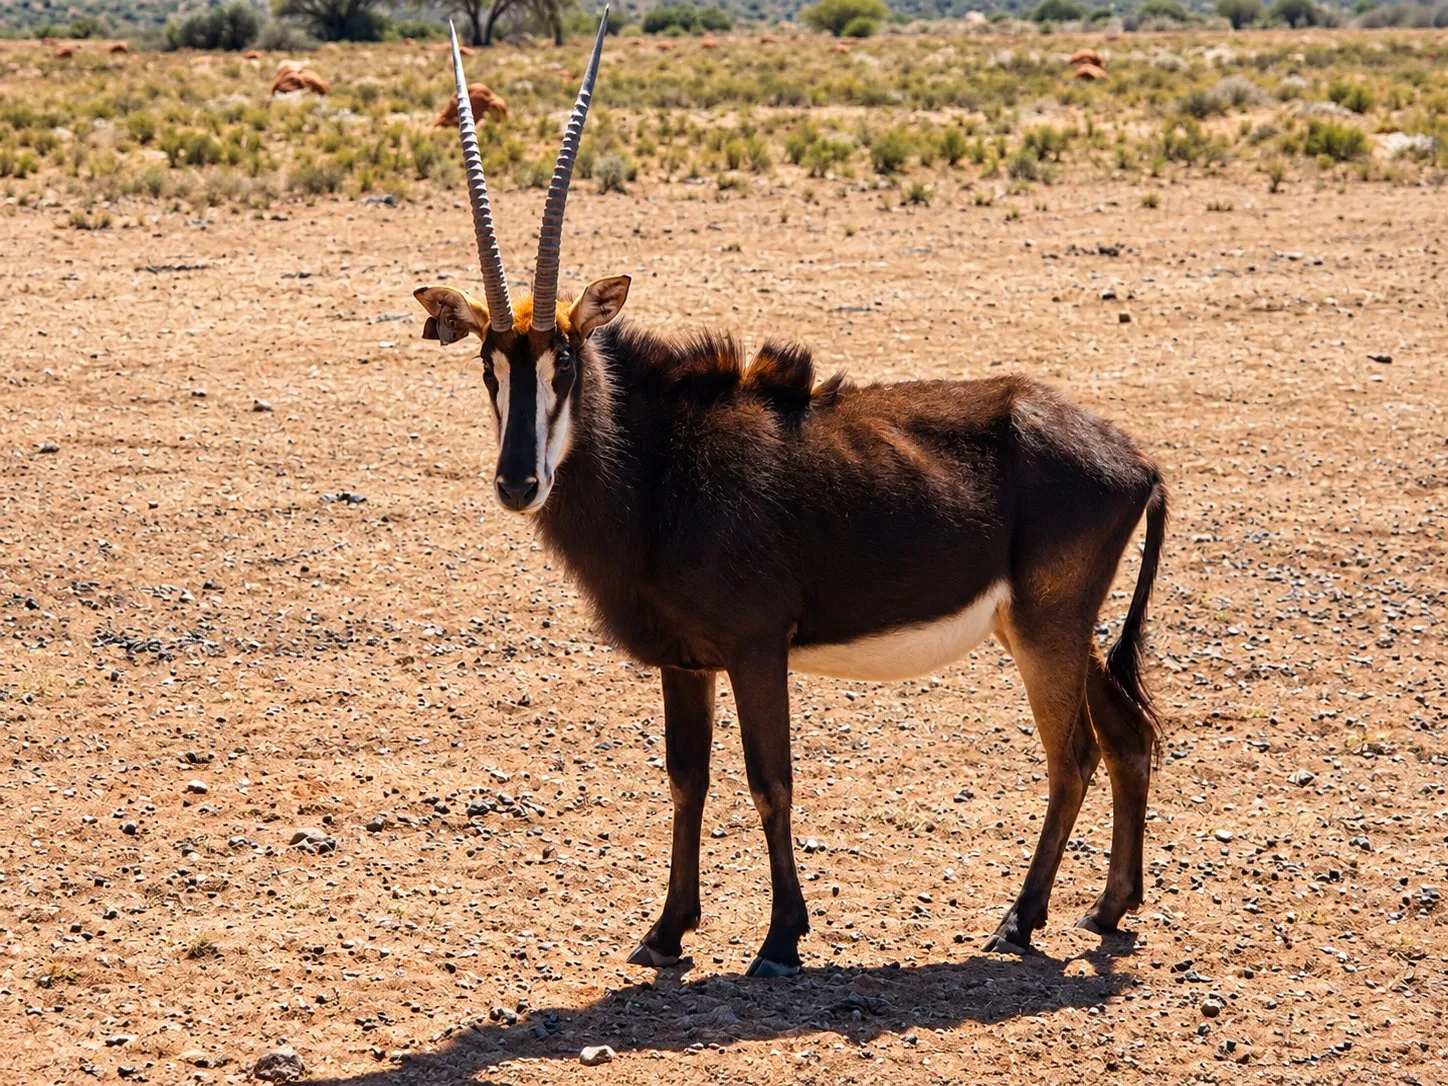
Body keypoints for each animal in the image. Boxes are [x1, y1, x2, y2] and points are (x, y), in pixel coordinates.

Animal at [412, 13, 1167, 976]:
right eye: (488, 364)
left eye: (566, 362)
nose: (519, 481)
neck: (661, 466)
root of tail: (1136, 460)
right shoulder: (686, 660)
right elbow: (686, 780)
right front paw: (666, 931)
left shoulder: (756, 646)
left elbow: (770, 780)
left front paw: (779, 939)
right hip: (1049, 628)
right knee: (1126, 738)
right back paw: (1108, 908)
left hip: (1047, 629)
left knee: (1073, 755)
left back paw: (1020, 919)